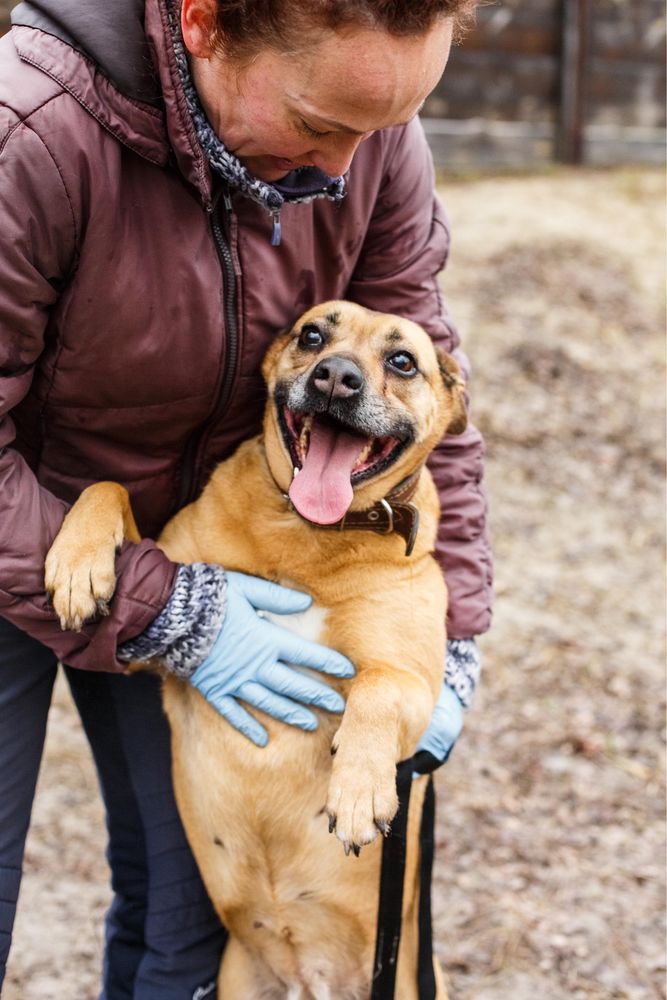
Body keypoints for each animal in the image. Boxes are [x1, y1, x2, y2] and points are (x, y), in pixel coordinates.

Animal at [47, 302, 468, 1000]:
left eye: (403, 361)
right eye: (313, 334)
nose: (335, 378)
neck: (310, 537)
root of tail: (312, 981)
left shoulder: (414, 682)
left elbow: (376, 691)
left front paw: (358, 789)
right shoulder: (153, 626)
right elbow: (109, 488)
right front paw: (79, 563)